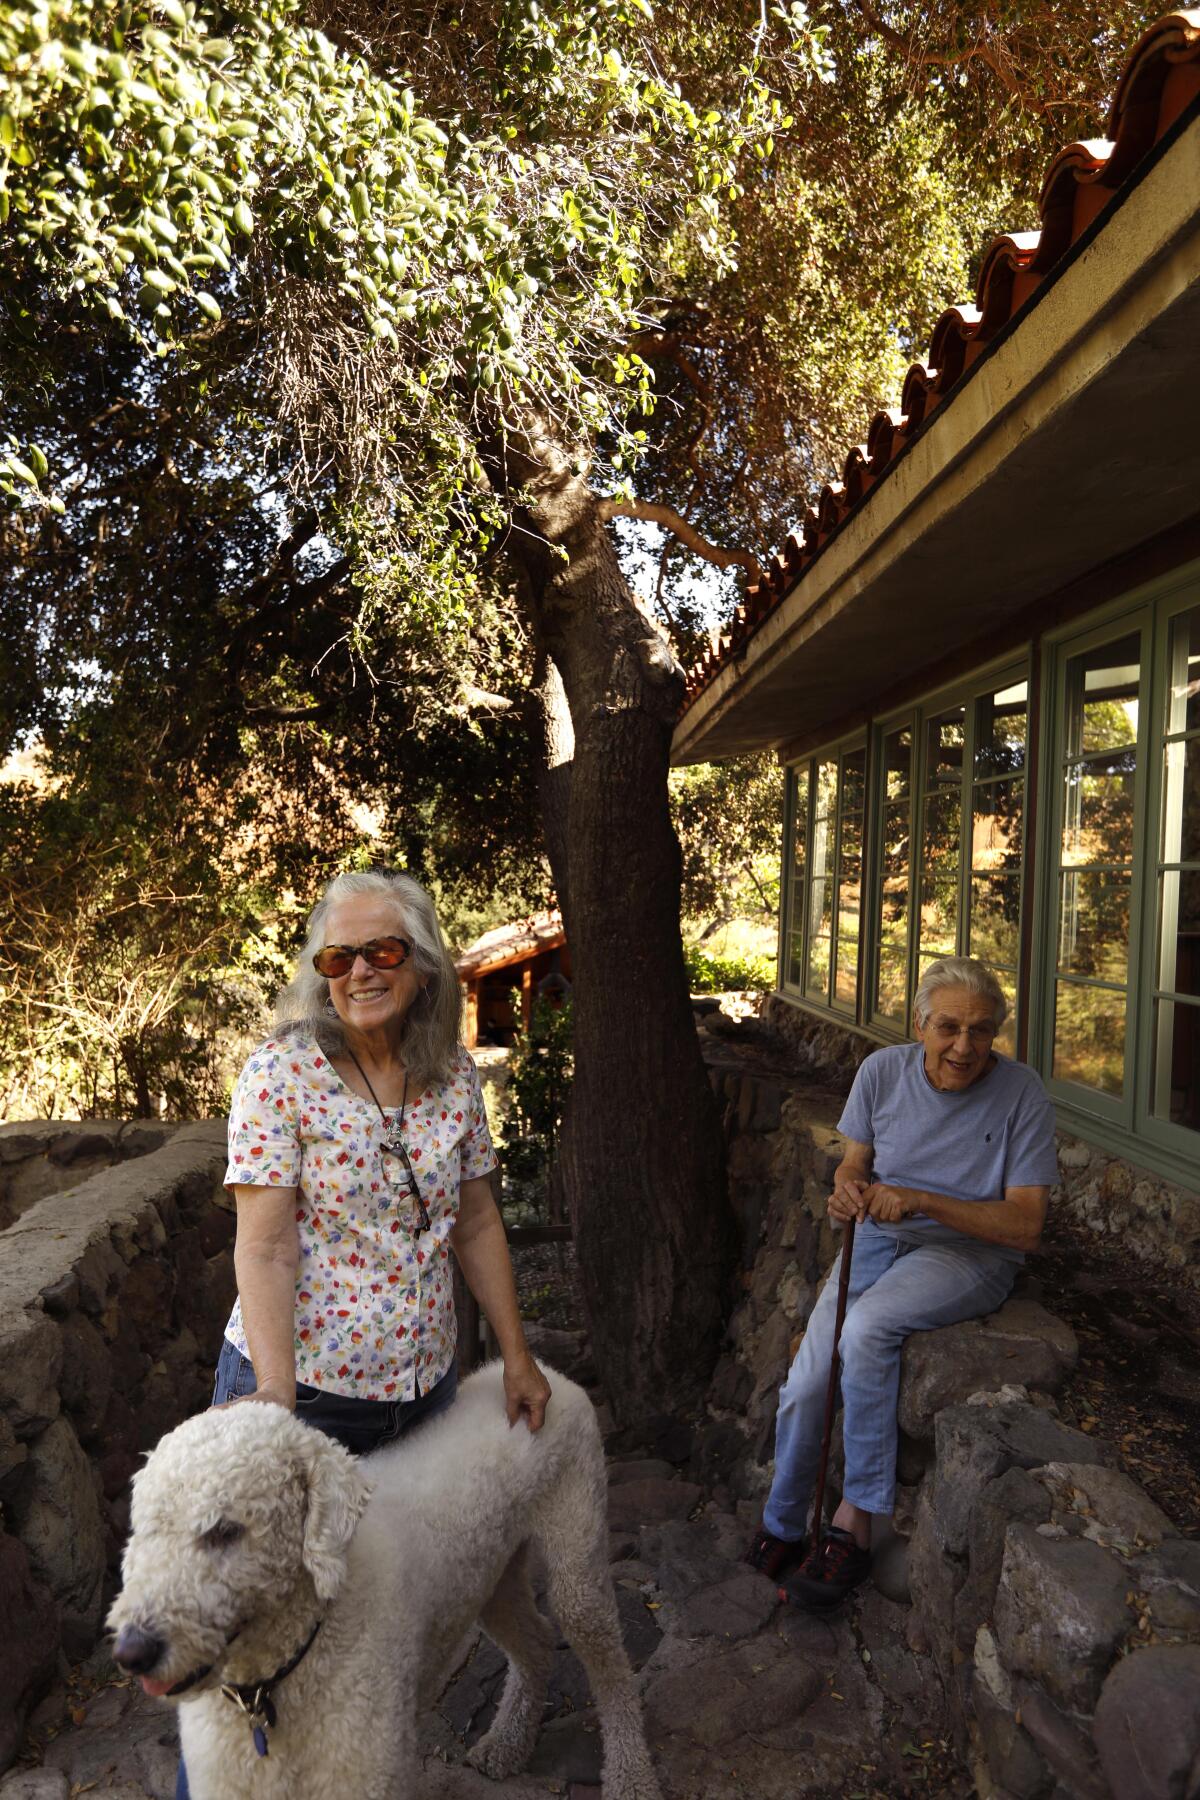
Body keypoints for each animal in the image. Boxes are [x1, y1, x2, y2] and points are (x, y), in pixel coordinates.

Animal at [107, 1360, 662, 1800]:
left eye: (225, 1530)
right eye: (145, 1528)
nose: (133, 1652)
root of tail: (544, 1372)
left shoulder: (366, 1766)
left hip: (577, 1543)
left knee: (608, 1665)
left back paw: (631, 1778)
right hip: (488, 1575)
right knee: (536, 1640)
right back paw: (507, 1743)